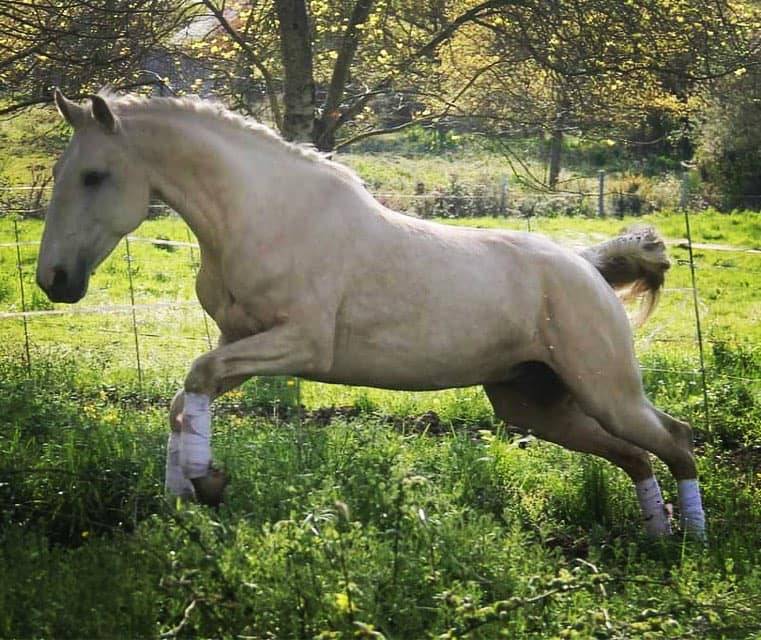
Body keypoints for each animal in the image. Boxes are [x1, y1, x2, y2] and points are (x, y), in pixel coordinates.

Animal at [37, 90, 705, 538]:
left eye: (94, 175)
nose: (54, 280)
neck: (265, 215)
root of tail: (587, 266)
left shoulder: (302, 344)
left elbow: (194, 379)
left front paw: (205, 483)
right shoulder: (240, 342)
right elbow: (184, 399)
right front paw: (184, 494)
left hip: (606, 393)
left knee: (676, 440)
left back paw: (691, 544)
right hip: (536, 405)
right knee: (637, 457)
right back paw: (658, 536)